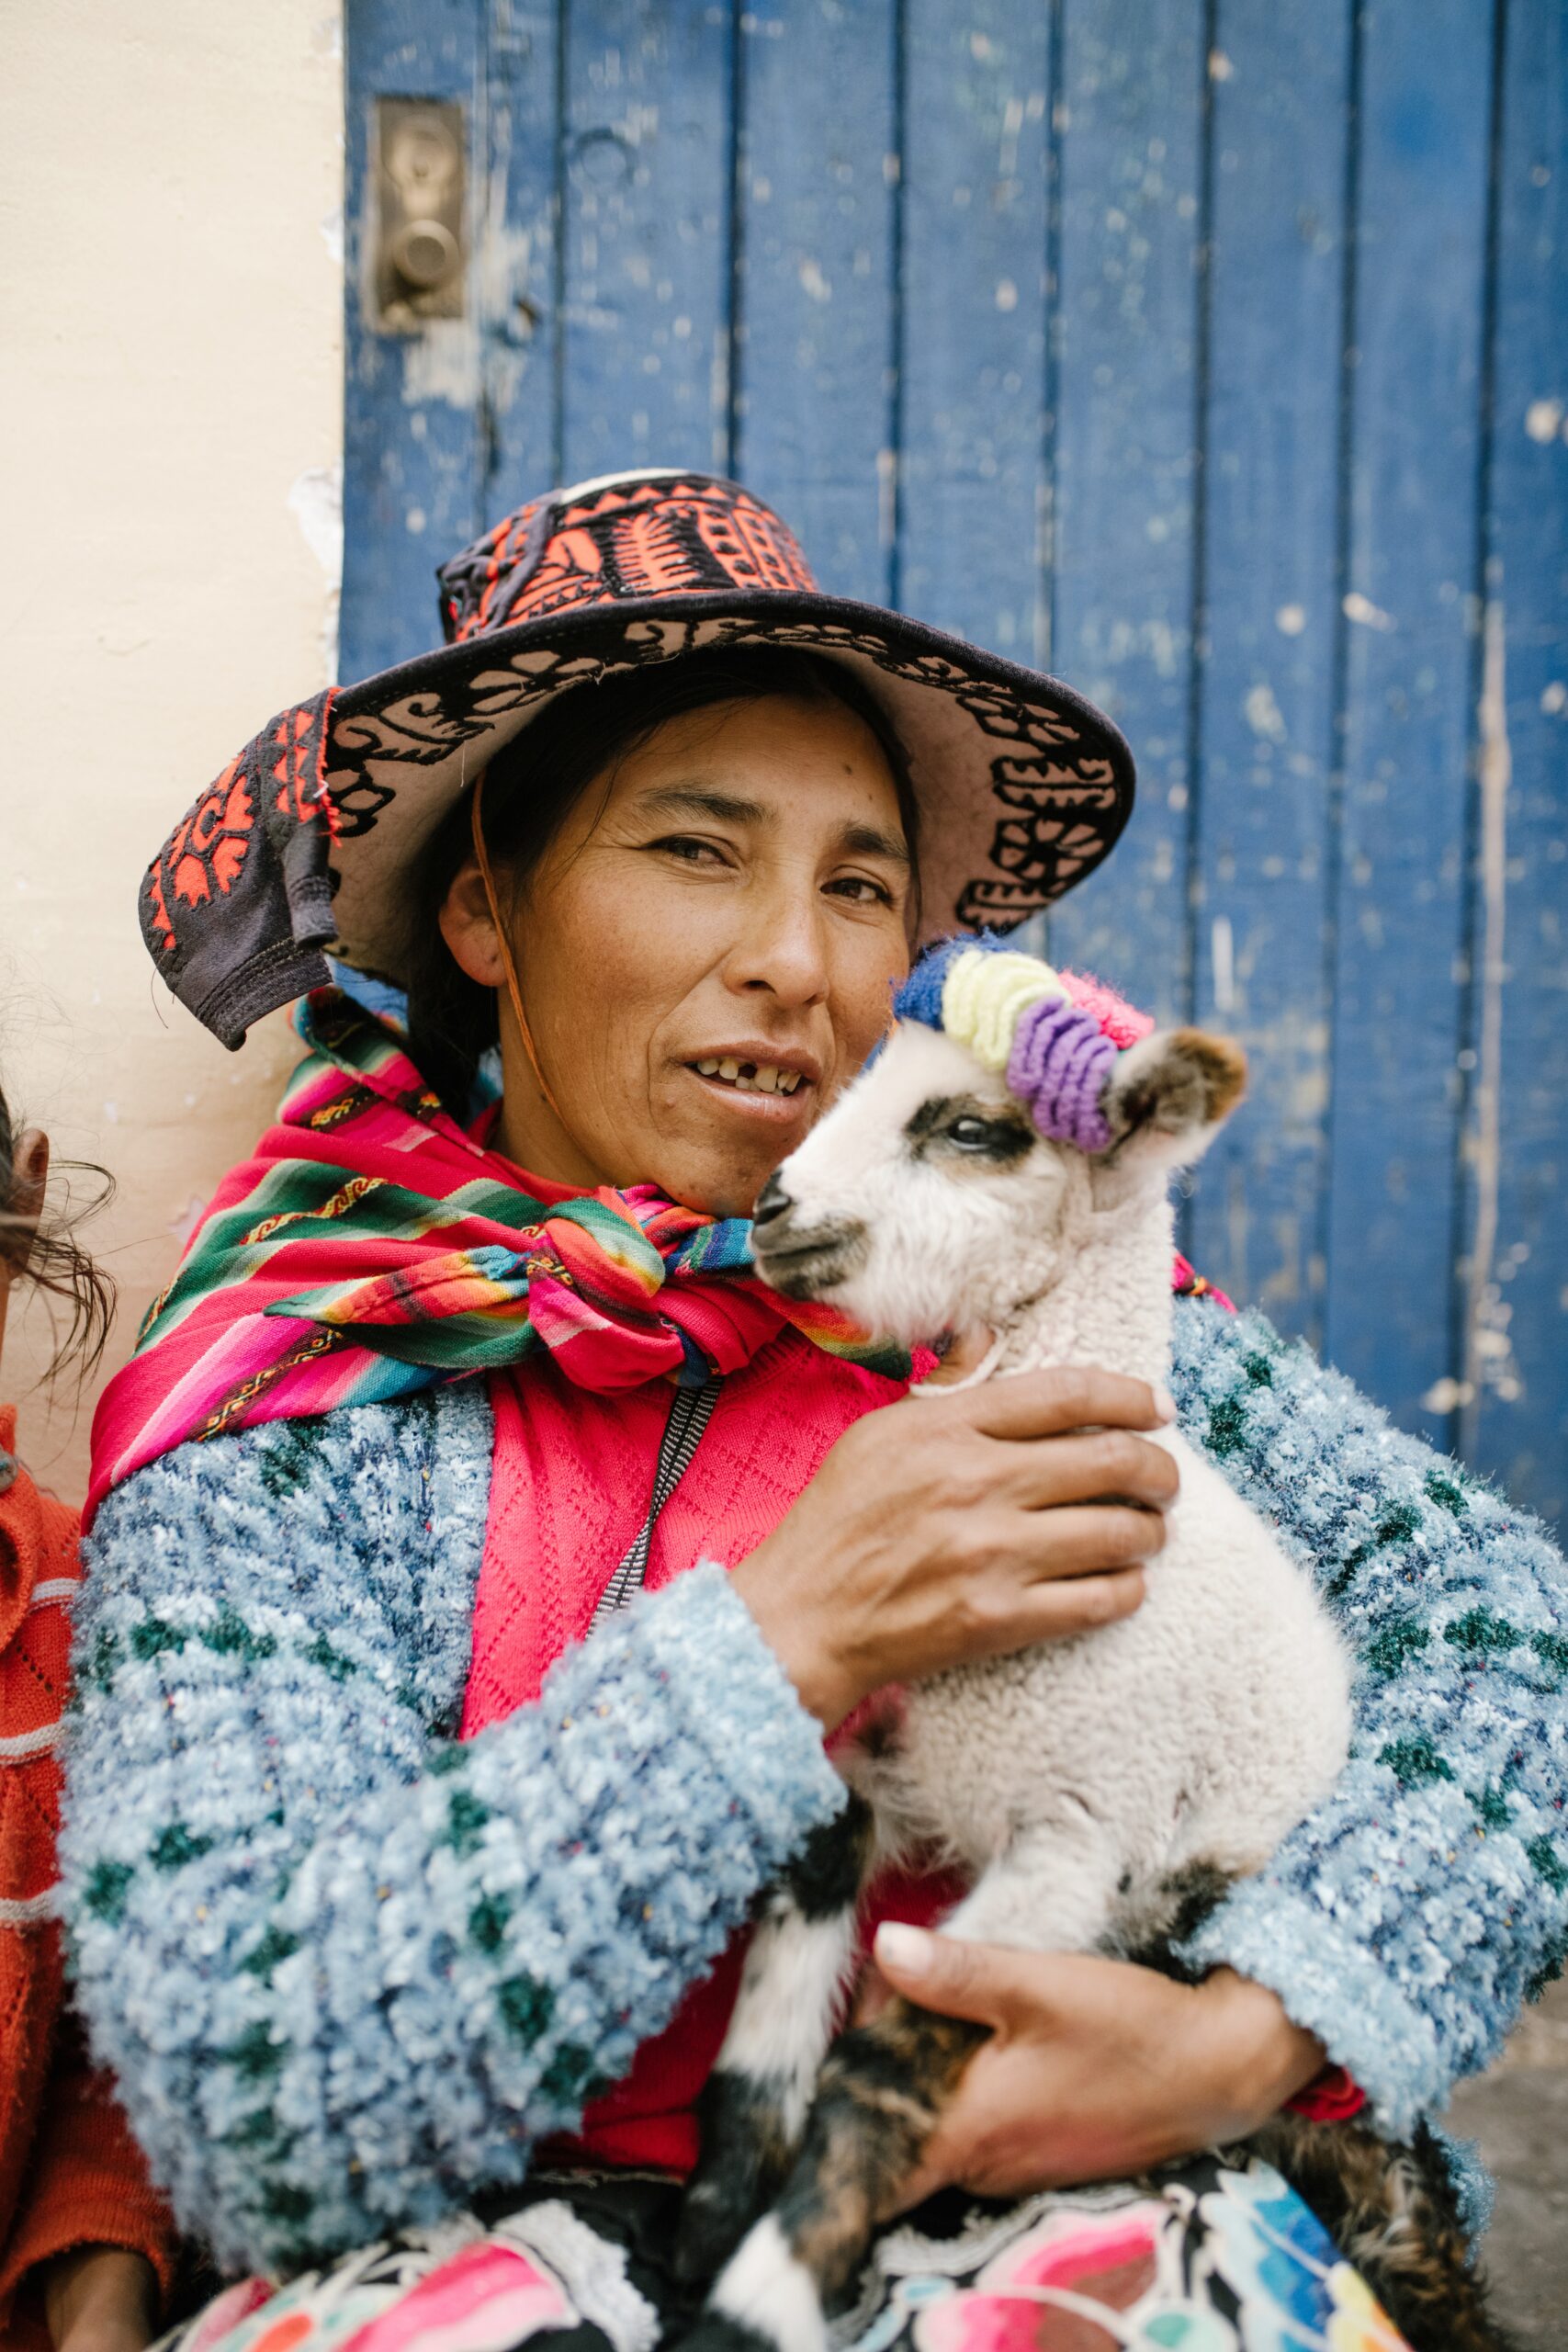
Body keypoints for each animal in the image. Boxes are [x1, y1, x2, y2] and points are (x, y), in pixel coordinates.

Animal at [677, 945, 1504, 2352]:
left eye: (972, 1130)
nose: (775, 1207)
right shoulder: (881, 1762)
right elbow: (774, 2007)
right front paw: (710, 2223)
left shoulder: (1076, 1839)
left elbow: (879, 2070)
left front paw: (756, 2295)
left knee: (1415, 2240)